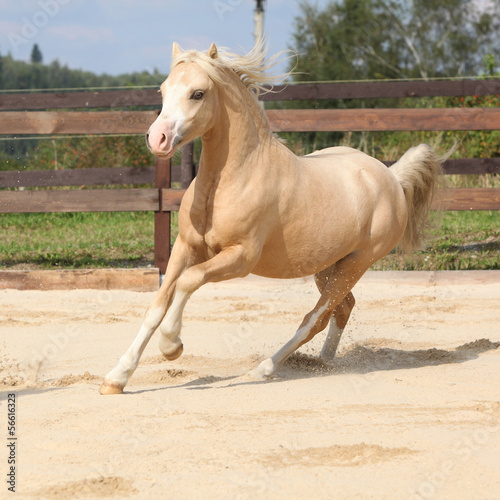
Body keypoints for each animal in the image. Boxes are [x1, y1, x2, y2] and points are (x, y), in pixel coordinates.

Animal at [98, 43, 442, 394]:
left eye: (198, 93)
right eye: (164, 90)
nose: (158, 139)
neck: (233, 178)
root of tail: (391, 177)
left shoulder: (240, 257)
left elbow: (189, 280)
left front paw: (172, 346)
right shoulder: (185, 247)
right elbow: (157, 305)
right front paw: (116, 378)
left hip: (356, 264)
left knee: (315, 318)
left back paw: (263, 369)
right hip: (327, 265)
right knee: (342, 309)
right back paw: (323, 362)